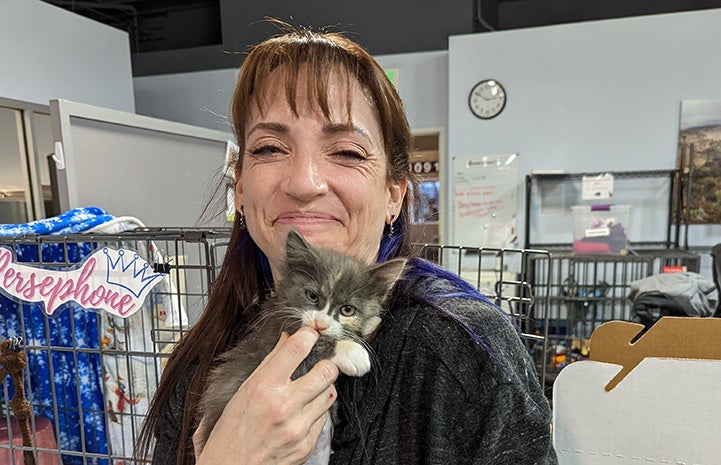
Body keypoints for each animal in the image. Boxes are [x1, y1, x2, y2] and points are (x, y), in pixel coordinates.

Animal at [193, 228, 404, 454]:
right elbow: (315, 345)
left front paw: (370, 322)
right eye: (312, 296)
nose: (320, 324)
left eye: (347, 310)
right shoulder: (272, 338)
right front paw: (353, 353)